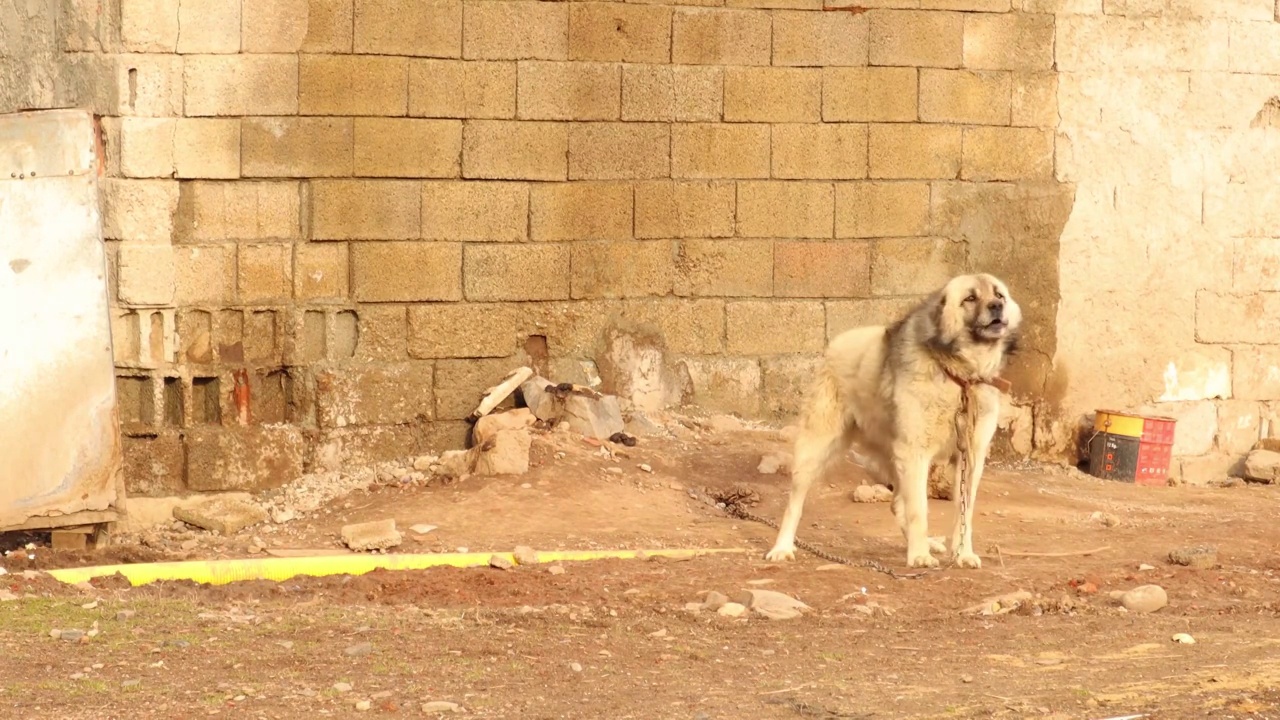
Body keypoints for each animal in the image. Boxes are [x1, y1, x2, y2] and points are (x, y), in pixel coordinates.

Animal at [762, 271, 1024, 568]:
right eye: (970, 298)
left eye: (999, 294)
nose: (997, 307)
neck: (960, 377)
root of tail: (836, 343)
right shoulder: (915, 453)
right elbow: (919, 509)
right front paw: (919, 555)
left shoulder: (970, 457)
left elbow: (963, 512)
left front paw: (962, 553)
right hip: (816, 450)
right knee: (794, 503)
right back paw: (782, 547)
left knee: (898, 502)